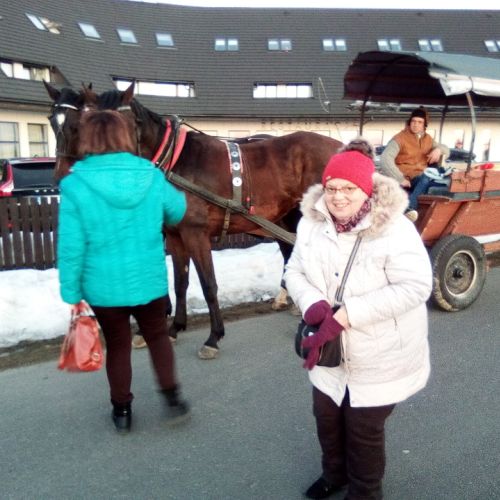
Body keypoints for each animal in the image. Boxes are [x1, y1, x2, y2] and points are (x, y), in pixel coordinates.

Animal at [45, 81, 343, 359]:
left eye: (76, 125)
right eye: (53, 120)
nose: (61, 175)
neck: (174, 162)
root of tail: (340, 145)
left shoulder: (195, 234)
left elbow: (208, 284)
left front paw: (213, 337)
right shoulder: (175, 236)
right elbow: (180, 282)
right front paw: (174, 327)